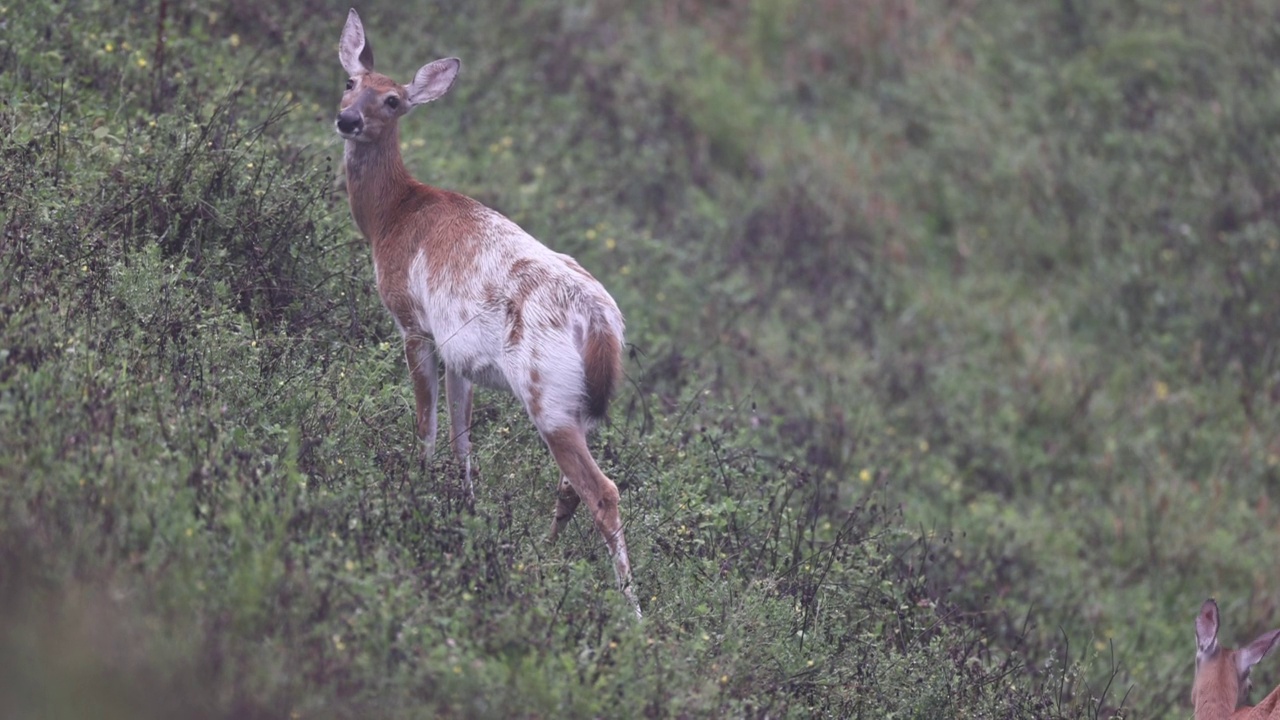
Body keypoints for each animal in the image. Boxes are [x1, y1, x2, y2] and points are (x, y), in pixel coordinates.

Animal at [332, 7, 637, 609]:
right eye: (352, 82)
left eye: (393, 101)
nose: (347, 119)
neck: (391, 216)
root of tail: (603, 328)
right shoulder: (462, 357)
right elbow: (462, 436)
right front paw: (464, 504)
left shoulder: (413, 321)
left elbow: (426, 423)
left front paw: (416, 485)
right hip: (580, 406)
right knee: (571, 489)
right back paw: (544, 558)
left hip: (546, 395)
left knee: (603, 490)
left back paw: (631, 611)